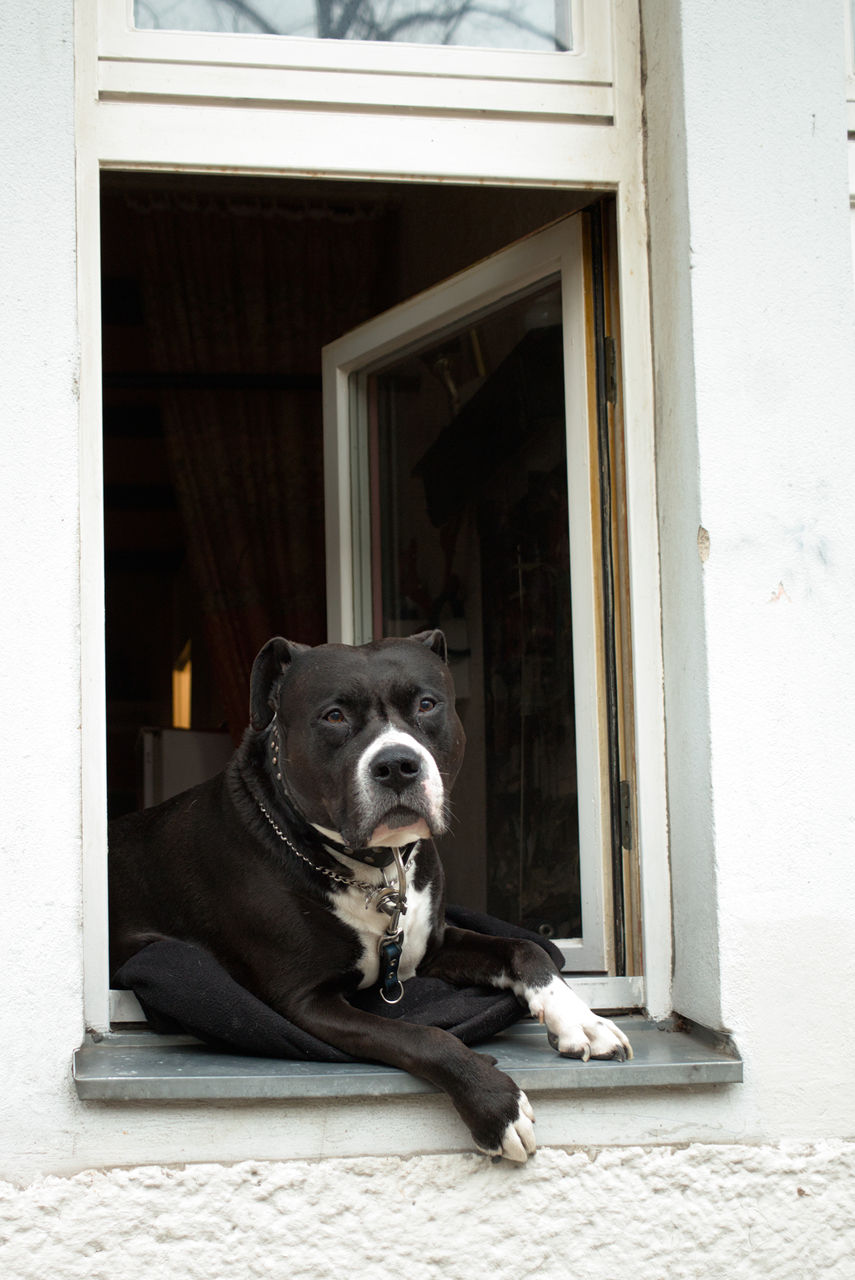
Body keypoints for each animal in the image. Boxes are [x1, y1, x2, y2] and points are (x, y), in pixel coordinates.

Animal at [110, 629, 632, 1162]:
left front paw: (581, 1019)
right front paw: (495, 1104)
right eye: (335, 715)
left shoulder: (432, 946)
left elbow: (525, 948)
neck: (376, 868)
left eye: (426, 704)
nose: (398, 765)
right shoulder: (307, 1002)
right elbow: (422, 1036)